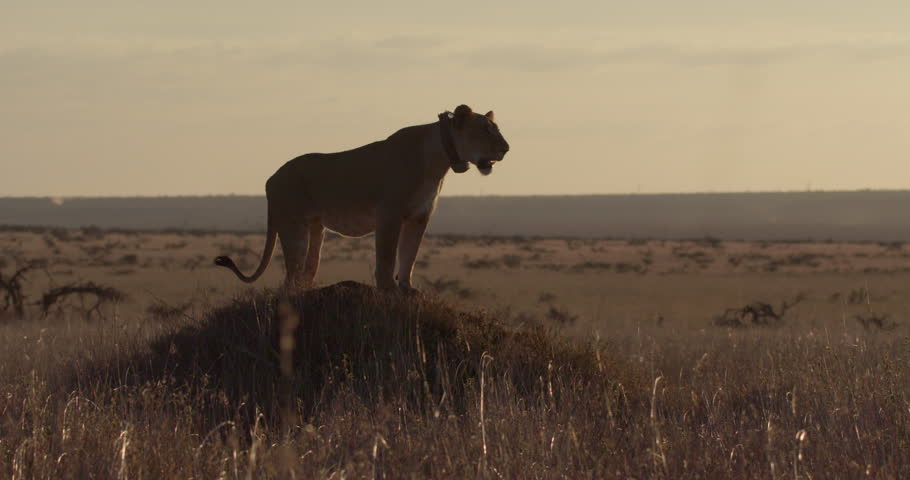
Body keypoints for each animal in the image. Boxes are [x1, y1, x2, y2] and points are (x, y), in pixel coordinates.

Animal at [214, 104, 510, 291]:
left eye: (496, 128)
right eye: (485, 130)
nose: (506, 148)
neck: (439, 160)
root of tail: (270, 179)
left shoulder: (419, 217)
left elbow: (409, 256)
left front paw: (408, 288)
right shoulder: (389, 214)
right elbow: (387, 257)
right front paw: (388, 289)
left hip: (316, 229)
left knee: (305, 274)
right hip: (293, 226)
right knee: (290, 280)